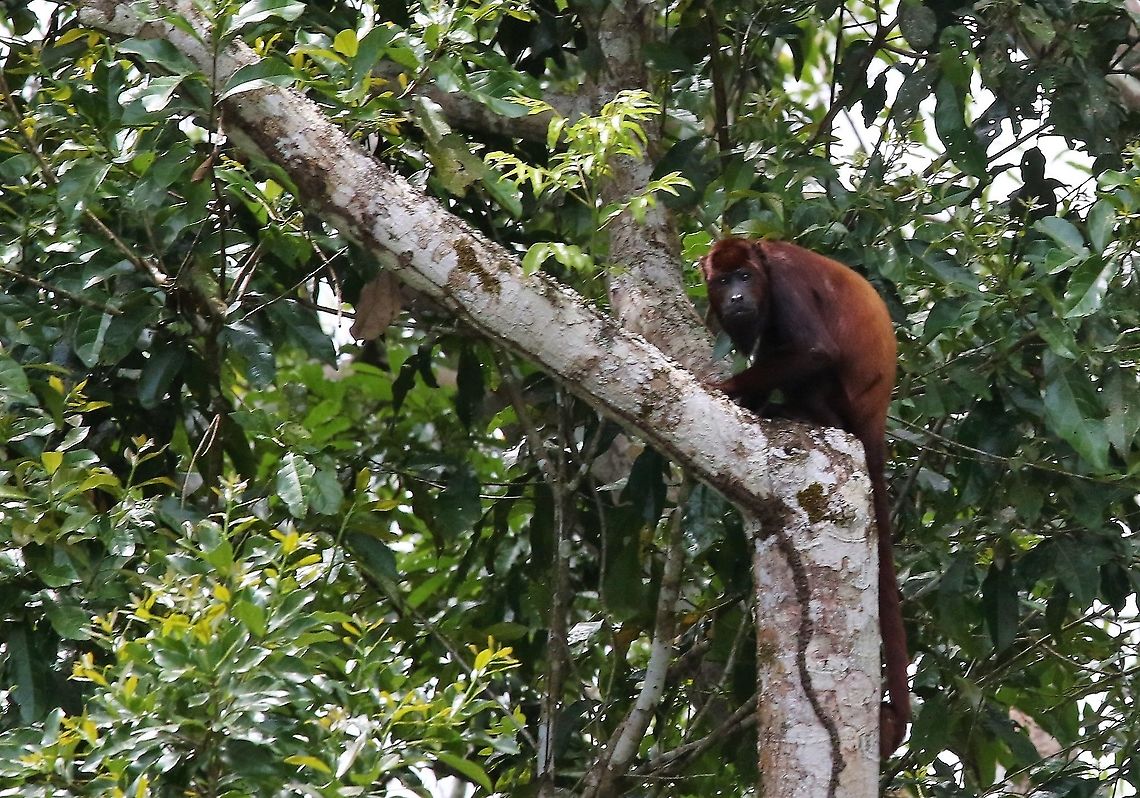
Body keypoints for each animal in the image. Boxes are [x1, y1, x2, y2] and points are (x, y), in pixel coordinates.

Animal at [700, 236, 908, 756]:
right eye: (723, 280)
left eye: (746, 276)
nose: (737, 297)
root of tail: (875, 423)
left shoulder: (786, 282)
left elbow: (814, 351)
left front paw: (730, 388)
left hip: (840, 404)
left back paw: (796, 412)